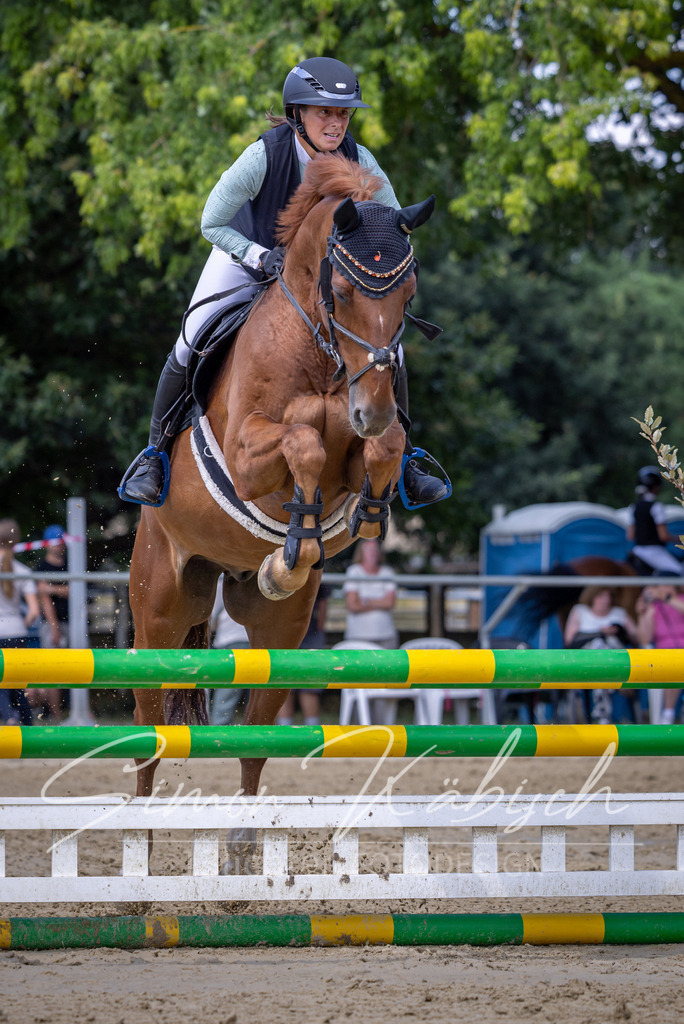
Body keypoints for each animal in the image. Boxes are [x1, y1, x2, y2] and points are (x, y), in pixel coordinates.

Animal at [129, 153, 435, 868]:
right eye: (343, 293)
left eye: (407, 298)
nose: (371, 407)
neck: (322, 354)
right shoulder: (247, 454)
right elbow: (301, 442)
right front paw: (297, 532)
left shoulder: (364, 436)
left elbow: (381, 450)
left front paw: (348, 520)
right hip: (158, 617)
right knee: (149, 737)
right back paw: (138, 846)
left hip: (280, 636)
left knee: (255, 737)